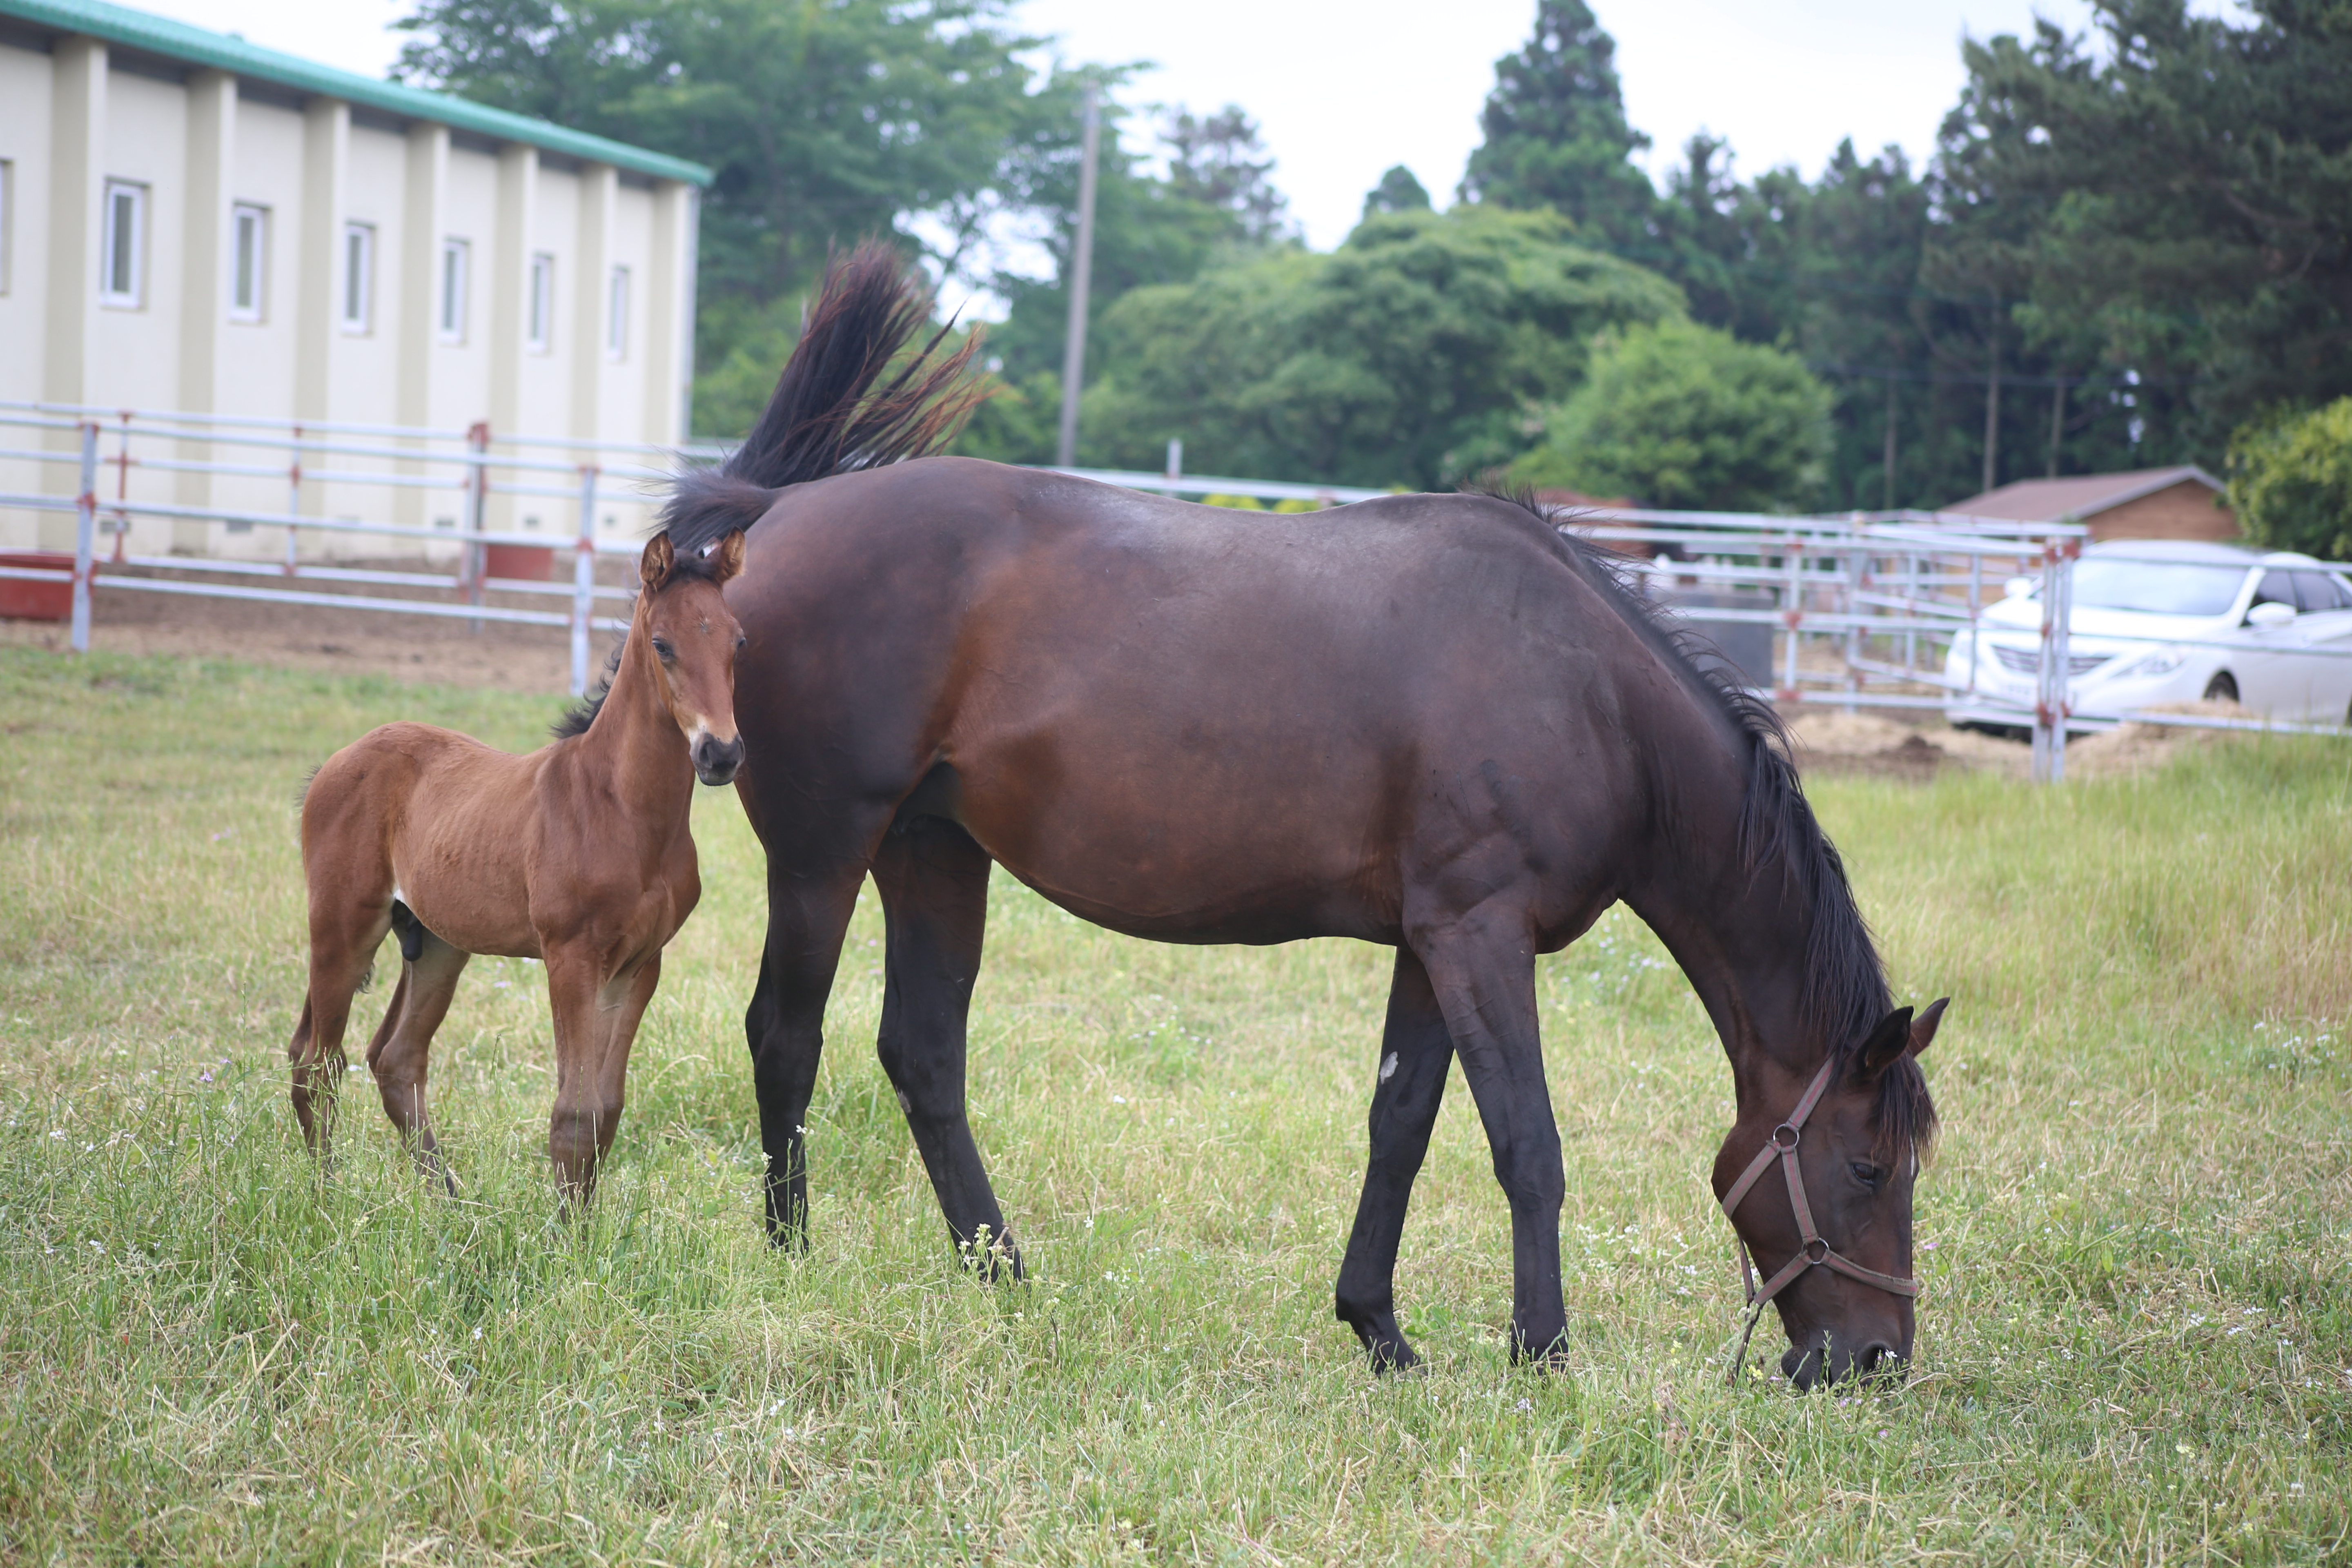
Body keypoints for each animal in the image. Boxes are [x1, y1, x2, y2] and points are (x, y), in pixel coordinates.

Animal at [288, 533, 743, 1213]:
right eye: (664, 644)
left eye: (738, 641)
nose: (721, 754)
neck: (621, 807)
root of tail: (338, 761)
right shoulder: (570, 958)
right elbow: (574, 1112)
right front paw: (564, 1233)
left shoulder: (640, 965)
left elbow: (607, 1109)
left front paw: (587, 1225)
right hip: (343, 926)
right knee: (319, 1062)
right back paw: (327, 1195)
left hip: (437, 943)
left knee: (394, 1059)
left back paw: (452, 1204)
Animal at [682, 245, 1947, 1382]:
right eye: (1868, 1166)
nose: (1872, 1359)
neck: (1586, 694)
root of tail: (774, 515)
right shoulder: (1480, 935)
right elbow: (1525, 1145)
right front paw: (1542, 1353)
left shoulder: (1433, 943)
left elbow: (1402, 1128)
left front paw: (1379, 1330)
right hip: (822, 851)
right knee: (785, 1036)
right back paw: (793, 1263)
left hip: (933, 851)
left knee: (924, 1055)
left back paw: (1003, 1279)